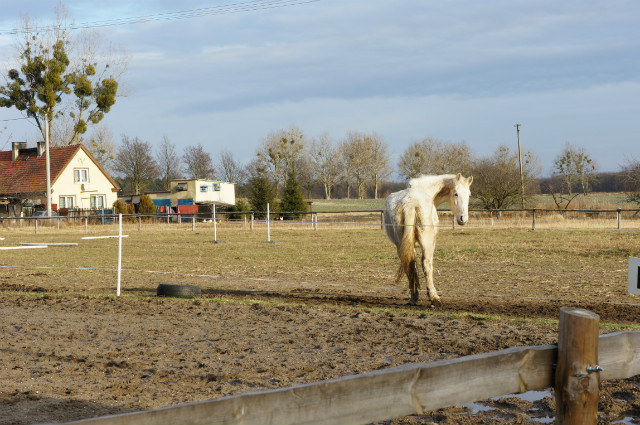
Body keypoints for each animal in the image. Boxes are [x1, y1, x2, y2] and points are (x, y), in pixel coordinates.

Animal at [382, 172, 472, 304]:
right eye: (456, 194)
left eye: (469, 195)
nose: (463, 218)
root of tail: (409, 202)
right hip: (427, 243)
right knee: (426, 263)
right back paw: (434, 296)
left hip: (400, 244)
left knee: (409, 263)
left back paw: (414, 297)